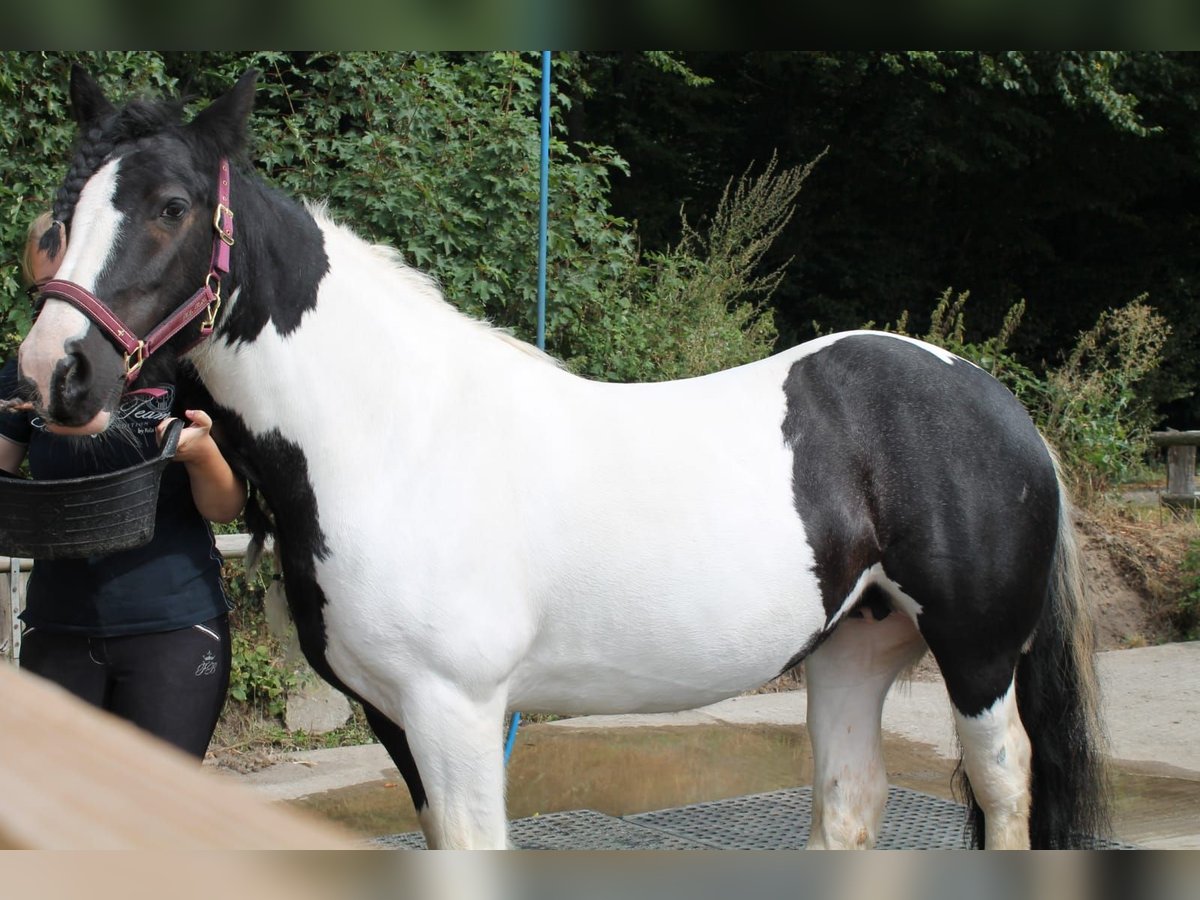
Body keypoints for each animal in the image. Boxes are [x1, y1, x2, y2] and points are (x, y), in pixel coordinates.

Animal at [14, 66, 1108, 849]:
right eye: (66, 208)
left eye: (173, 206)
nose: (56, 371)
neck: (393, 438)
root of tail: (989, 398)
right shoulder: (398, 721)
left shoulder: (457, 712)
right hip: (852, 648)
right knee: (851, 802)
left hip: (976, 656)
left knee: (1005, 789)